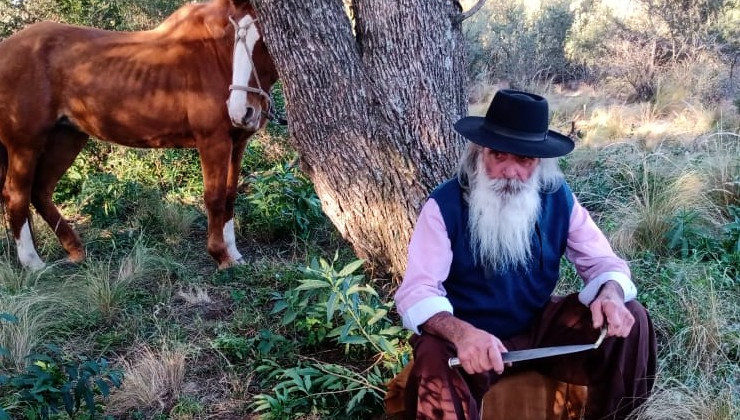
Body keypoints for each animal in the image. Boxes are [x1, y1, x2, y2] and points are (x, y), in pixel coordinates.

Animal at [0, 0, 280, 270]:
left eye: (266, 41)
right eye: (235, 39)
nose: (240, 110)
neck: (213, 55)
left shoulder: (237, 142)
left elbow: (230, 196)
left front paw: (234, 254)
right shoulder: (213, 141)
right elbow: (215, 198)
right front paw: (220, 256)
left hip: (66, 139)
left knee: (40, 191)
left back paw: (76, 252)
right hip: (25, 145)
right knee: (16, 195)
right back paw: (34, 263)